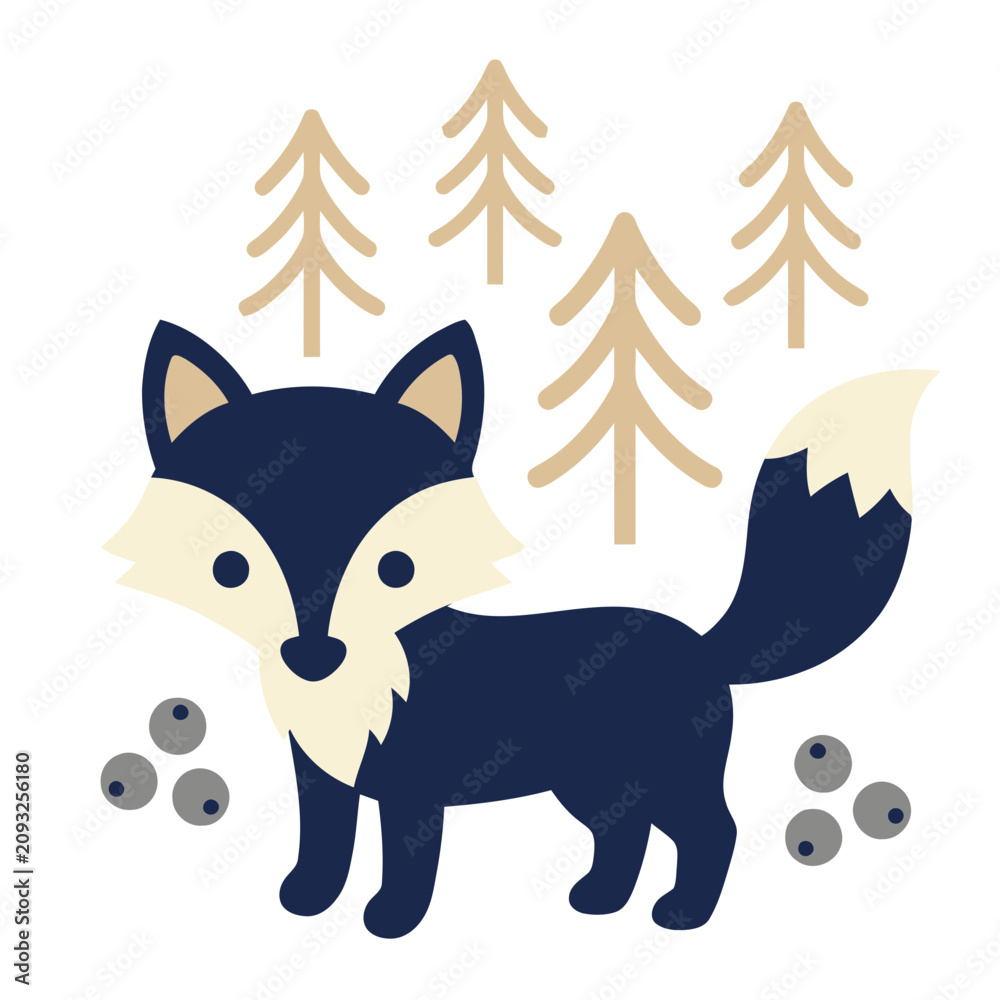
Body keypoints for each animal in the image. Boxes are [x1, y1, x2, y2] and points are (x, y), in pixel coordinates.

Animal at [106, 318, 933, 938]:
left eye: (396, 567)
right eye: (231, 567)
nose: (315, 653)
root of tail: (697, 643)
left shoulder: (412, 790)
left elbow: (405, 864)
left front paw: (391, 922)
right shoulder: (322, 775)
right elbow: (325, 844)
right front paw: (308, 900)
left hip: (664, 776)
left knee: (712, 831)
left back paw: (683, 915)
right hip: (593, 784)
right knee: (624, 834)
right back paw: (599, 901)